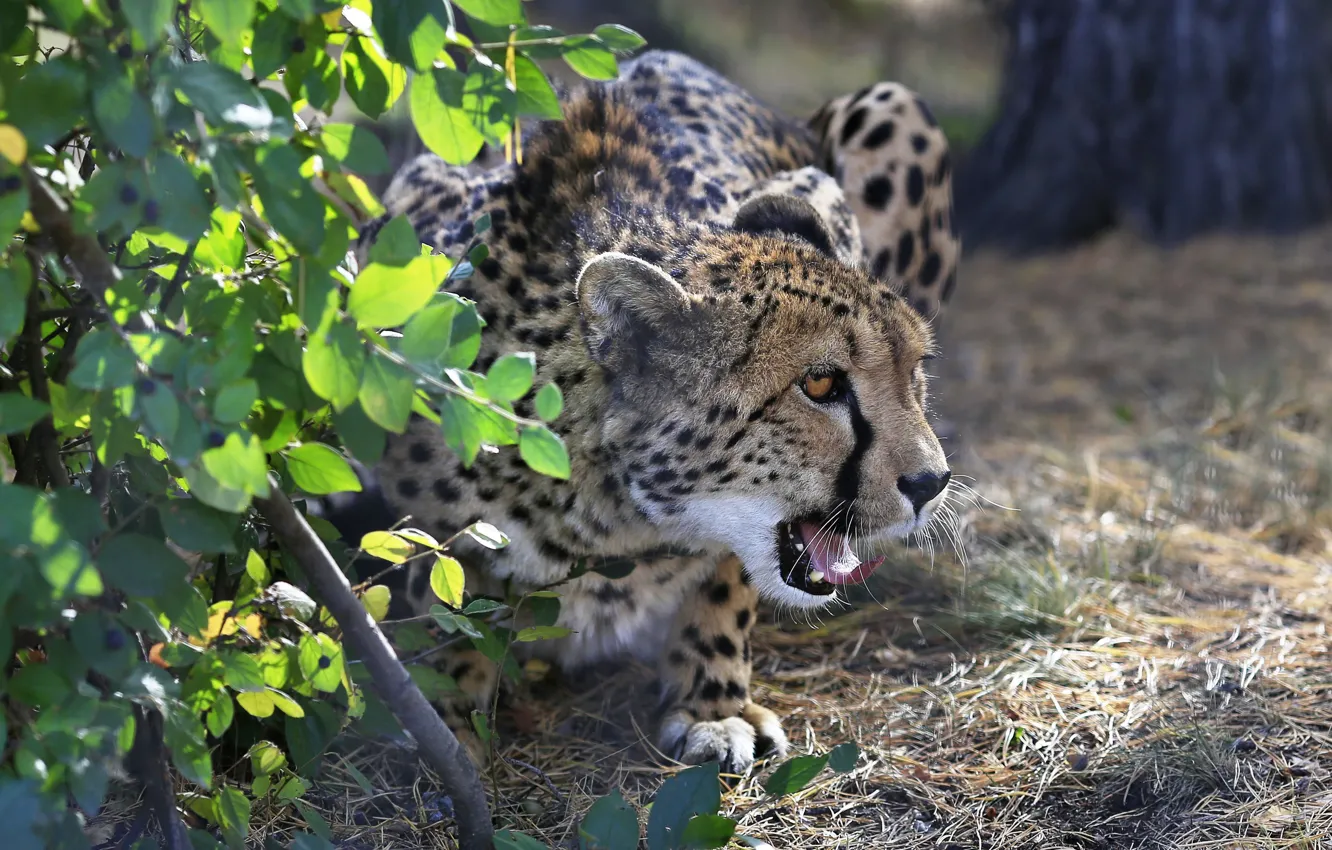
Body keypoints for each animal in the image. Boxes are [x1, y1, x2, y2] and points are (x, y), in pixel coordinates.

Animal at [323, 50, 959, 774]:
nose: (932, 483)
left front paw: (713, 702)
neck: (607, 509)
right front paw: (441, 713)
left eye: (914, 371)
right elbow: (442, 580)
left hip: (894, 106)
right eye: (821, 384)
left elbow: (729, 572)